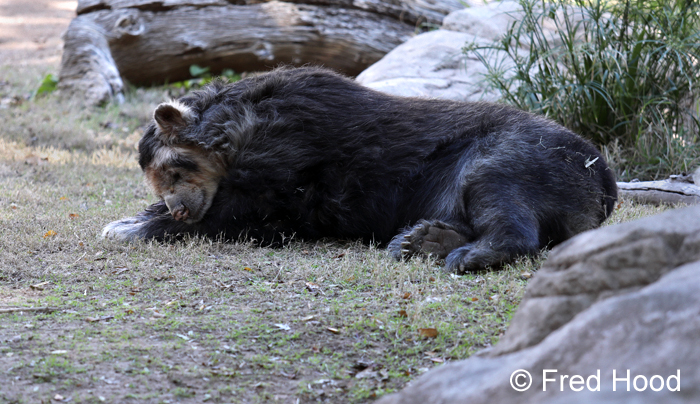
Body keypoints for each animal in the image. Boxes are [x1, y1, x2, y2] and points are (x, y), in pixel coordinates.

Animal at [103, 66, 618, 273]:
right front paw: (133, 217)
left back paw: (467, 253)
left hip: (527, 154)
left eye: (176, 168)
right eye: (158, 181)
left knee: (497, 187)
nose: (179, 207)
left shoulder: (294, 151)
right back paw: (423, 240)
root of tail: (606, 184)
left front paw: (135, 226)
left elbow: (248, 215)